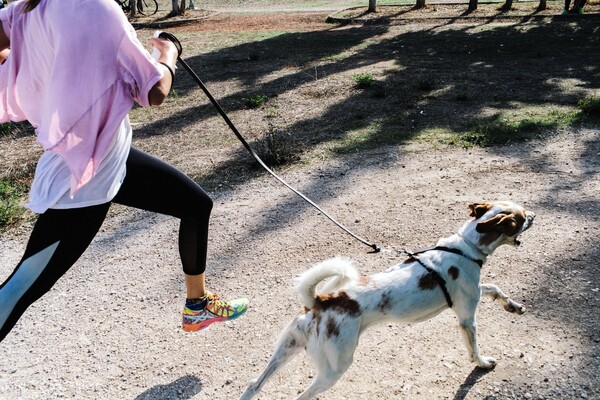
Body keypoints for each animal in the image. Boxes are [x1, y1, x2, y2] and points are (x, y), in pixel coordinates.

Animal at [239, 202, 536, 400]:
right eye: (522, 218)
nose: (535, 215)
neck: (465, 247)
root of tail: (321, 300)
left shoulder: (472, 292)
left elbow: (495, 288)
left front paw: (513, 306)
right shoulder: (466, 316)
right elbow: (474, 350)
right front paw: (483, 364)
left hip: (287, 348)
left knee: (254, 384)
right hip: (334, 368)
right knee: (301, 396)